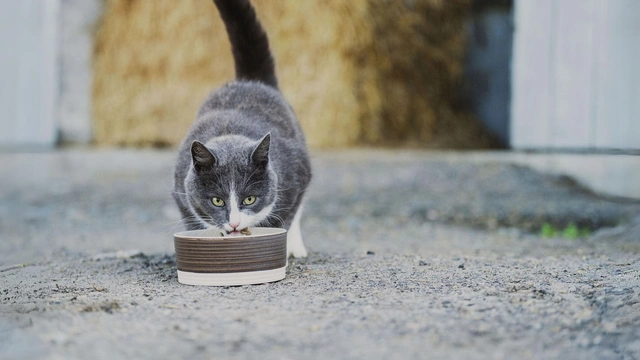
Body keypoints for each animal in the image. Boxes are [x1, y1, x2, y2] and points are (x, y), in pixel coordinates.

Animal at [170, 0, 310, 258]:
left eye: (249, 199)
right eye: (217, 201)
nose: (234, 224)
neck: (229, 135)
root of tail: (250, 80)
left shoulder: (295, 179)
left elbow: (286, 216)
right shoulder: (181, 192)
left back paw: (296, 247)